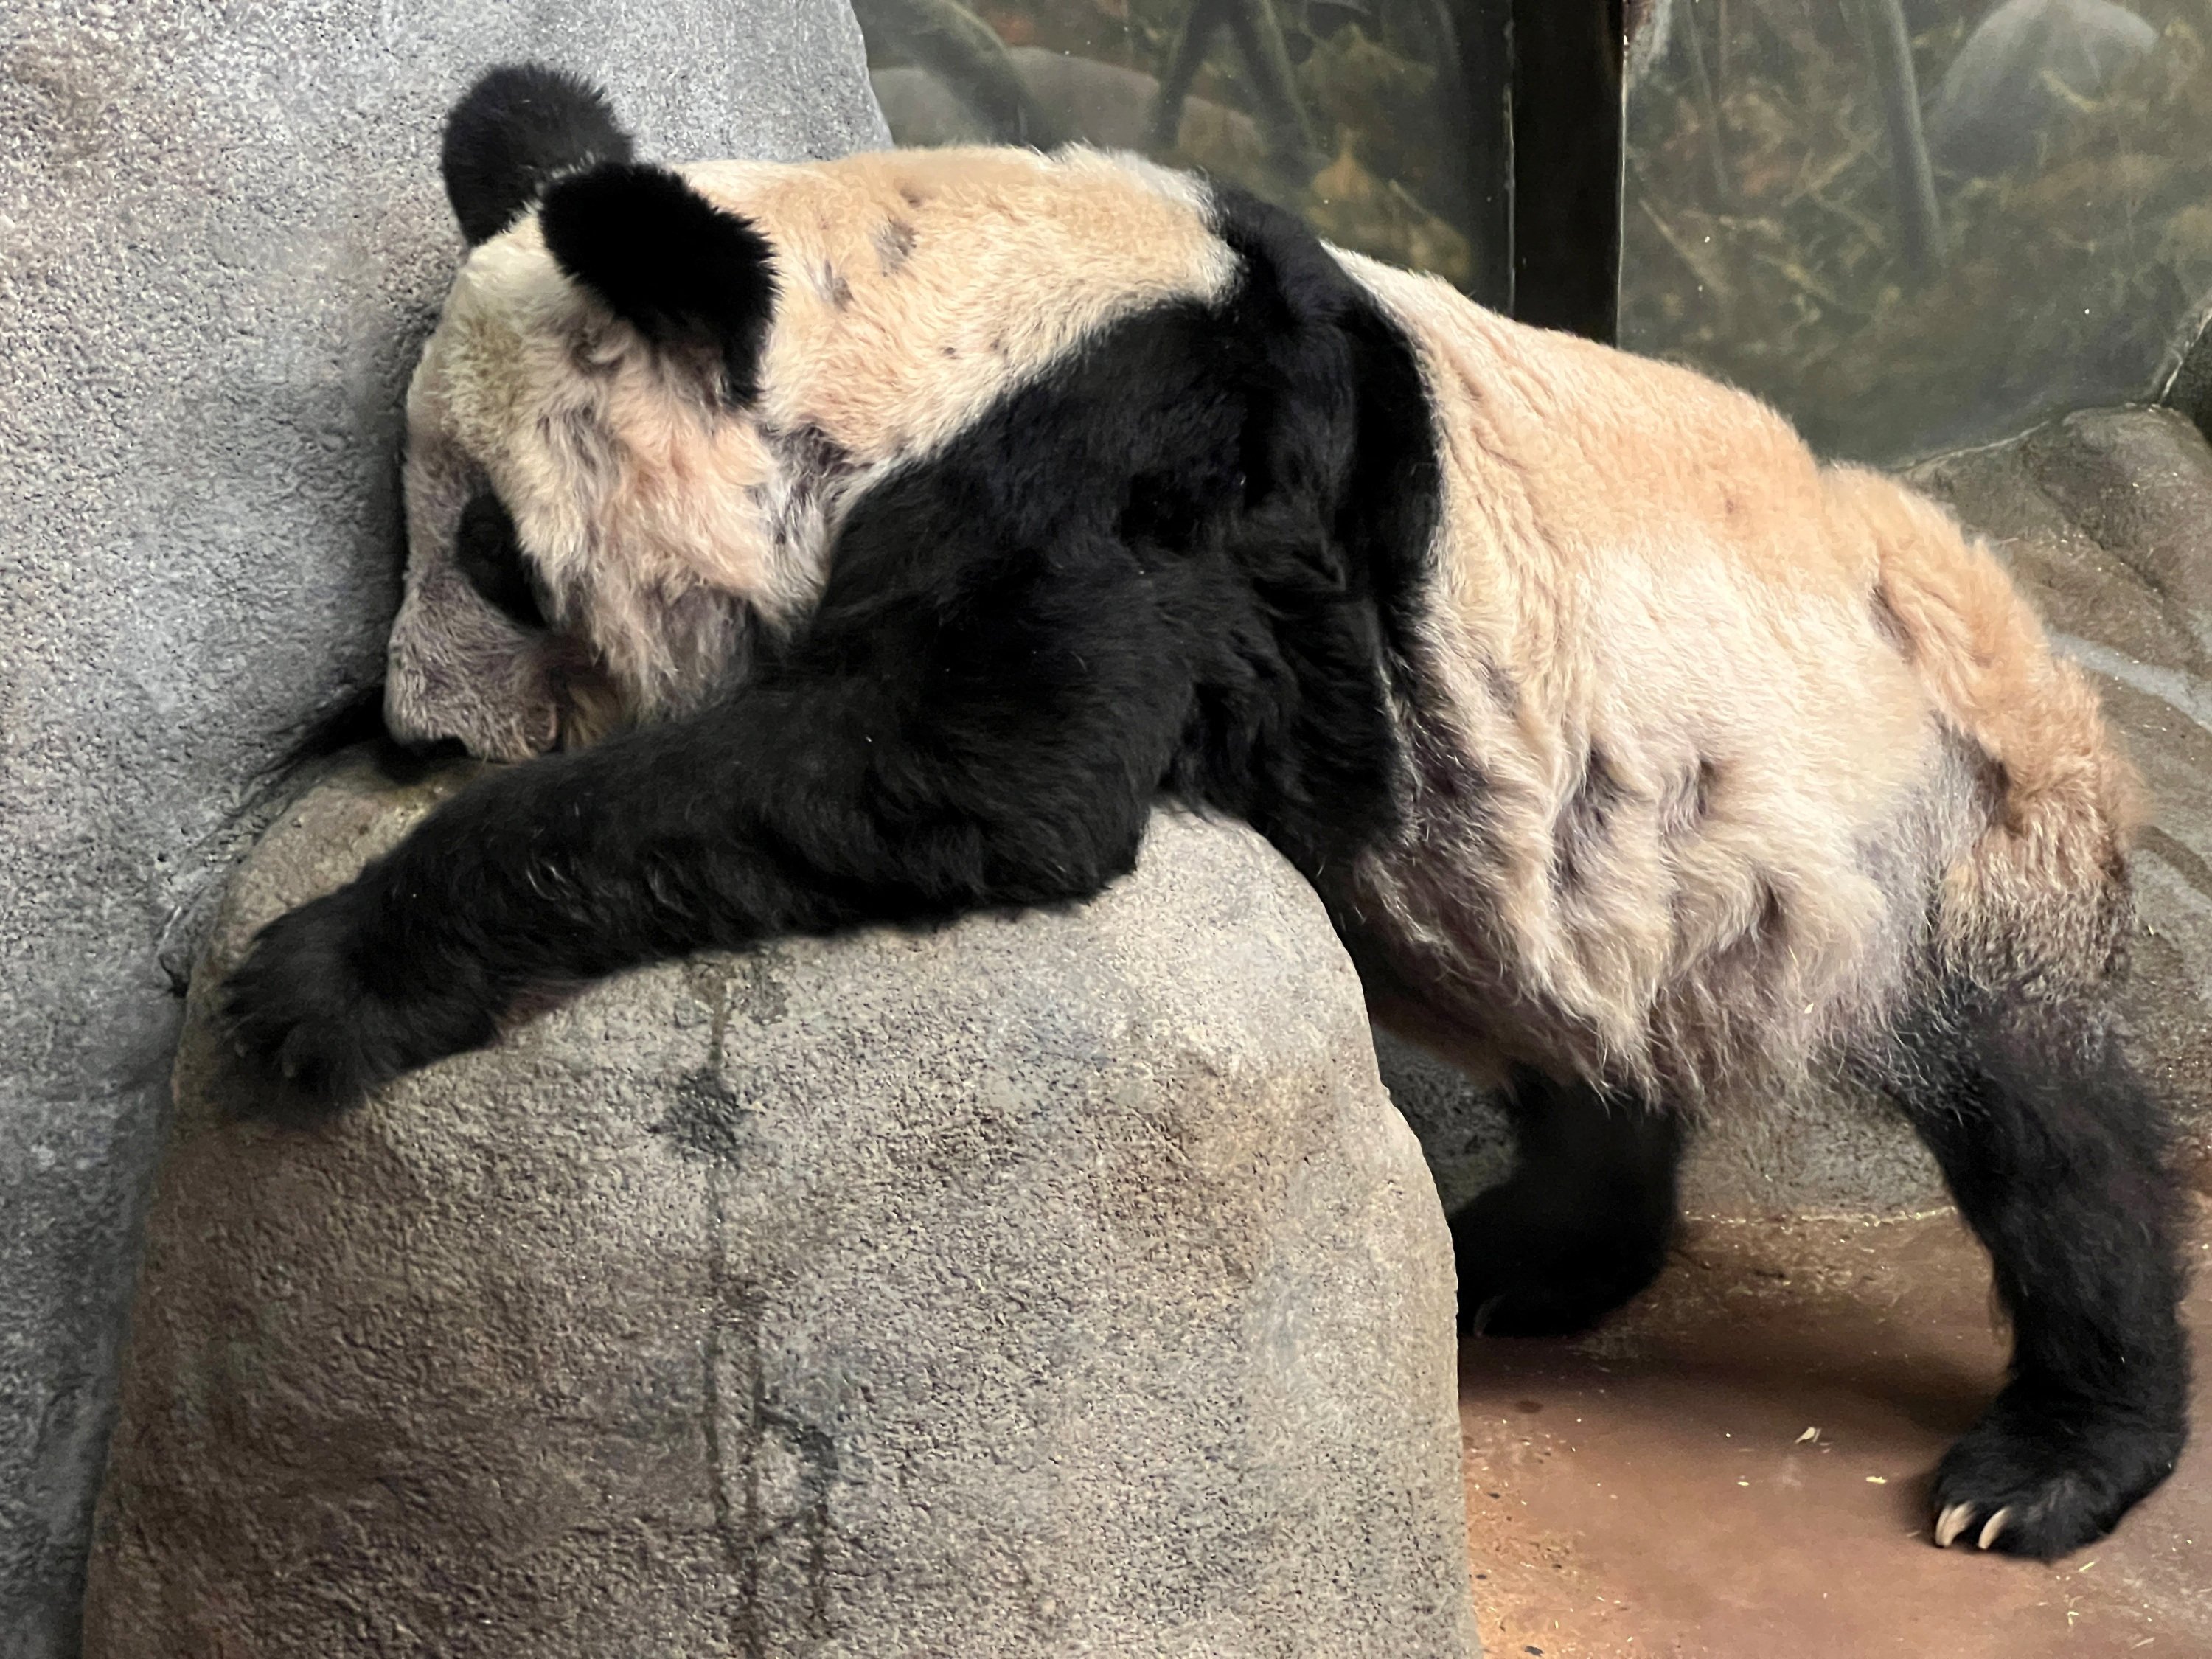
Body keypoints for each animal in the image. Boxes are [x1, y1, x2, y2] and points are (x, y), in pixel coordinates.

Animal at [215, 68, 2185, 1575]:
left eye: (492, 548)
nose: (416, 722)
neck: (928, 310)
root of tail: (2031, 650)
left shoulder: (1141, 467)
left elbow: (985, 761)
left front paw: (318, 978)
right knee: (1592, 1036)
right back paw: (1530, 1257)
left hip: (1929, 827)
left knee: (2052, 1134)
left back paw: (2049, 1463)